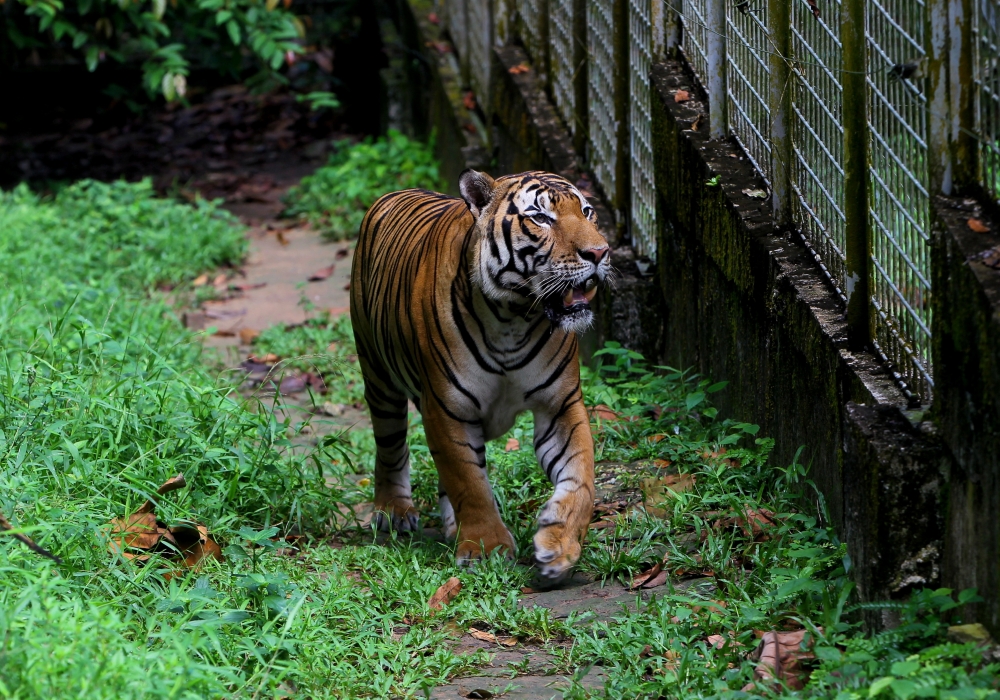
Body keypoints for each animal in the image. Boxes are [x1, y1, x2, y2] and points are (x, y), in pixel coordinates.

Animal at [352, 168, 612, 580]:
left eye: (587, 212)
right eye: (540, 217)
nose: (600, 253)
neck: (515, 317)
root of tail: (396, 192)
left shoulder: (561, 404)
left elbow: (581, 476)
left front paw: (560, 546)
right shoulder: (447, 408)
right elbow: (469, 482)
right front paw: (486, 549)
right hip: (378, 378)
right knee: (390, 446)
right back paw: (393, 511)